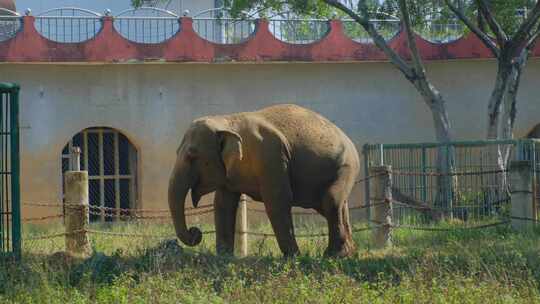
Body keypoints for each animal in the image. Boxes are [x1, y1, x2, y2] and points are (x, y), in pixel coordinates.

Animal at [169, 104, 358, 256]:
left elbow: (278, 200)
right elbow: (223, 204)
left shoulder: (271, 156)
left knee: (331, 199)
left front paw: (294, 257)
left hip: (346, 166)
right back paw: (349, 253)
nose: (195, 232)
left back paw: (335, 255)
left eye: (192, 156)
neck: (228, 121)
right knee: (334, 205)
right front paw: (223, 256)